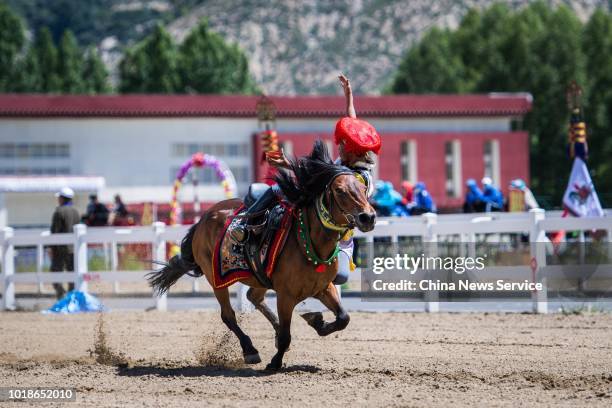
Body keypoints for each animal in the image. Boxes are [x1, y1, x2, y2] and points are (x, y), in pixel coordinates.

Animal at [149, 142, 378, 372]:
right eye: (339, 190)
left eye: (363, 189)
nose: (368, 217)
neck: (308, 241)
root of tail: (204, 218)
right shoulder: (285, 296)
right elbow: (287, 334)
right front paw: (275, 362)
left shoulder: (323, 287)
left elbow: (343, 318)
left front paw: (317, 321)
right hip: (215, 279)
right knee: (228, 315)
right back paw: (250, 350)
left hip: (257, 277)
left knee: (253, 297)